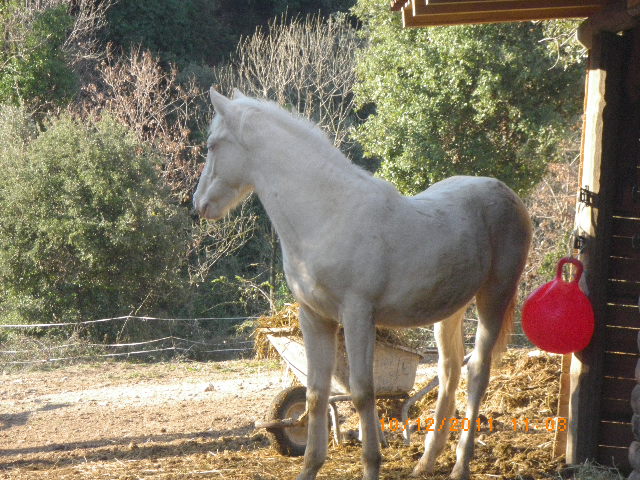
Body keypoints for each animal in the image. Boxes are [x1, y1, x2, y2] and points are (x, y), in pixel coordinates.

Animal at [192, 88, 532, 478]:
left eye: (213, 145)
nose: (199, 205)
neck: (327, 214)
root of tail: (506, 194)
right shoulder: (314, 318)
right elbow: (316, 394)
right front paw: (310, 465)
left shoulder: (357, 315)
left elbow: (361, 393)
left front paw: (371, 464)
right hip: (450, 310)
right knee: (449, 372)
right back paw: (425, 463)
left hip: (494, 296)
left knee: (477, 371)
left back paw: (460, 466)